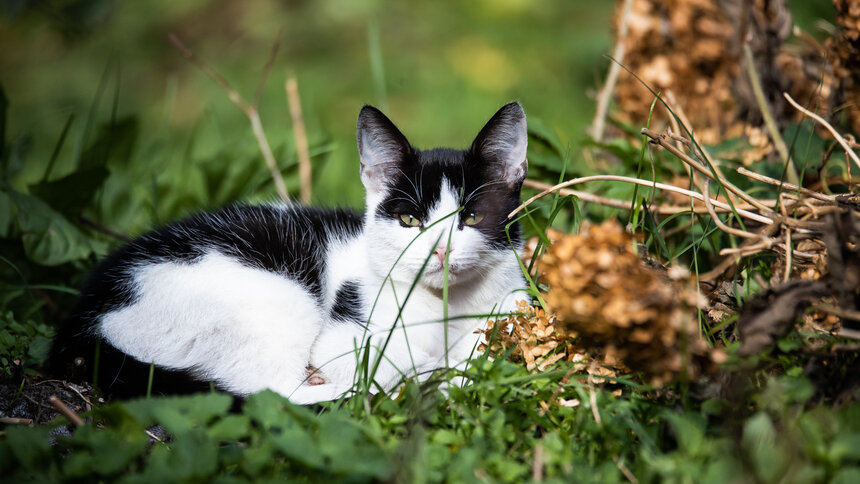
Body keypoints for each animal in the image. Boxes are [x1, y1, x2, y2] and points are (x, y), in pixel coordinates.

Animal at [52, 102, 532, 404]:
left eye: (472, 216)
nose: (440, 250)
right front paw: (436, 369)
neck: (447, 307)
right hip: (273, 297)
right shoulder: (347, 336)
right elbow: (388, 362)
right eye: (410, 220)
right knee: (273, 392)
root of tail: (82, 322)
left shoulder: (512, 300)